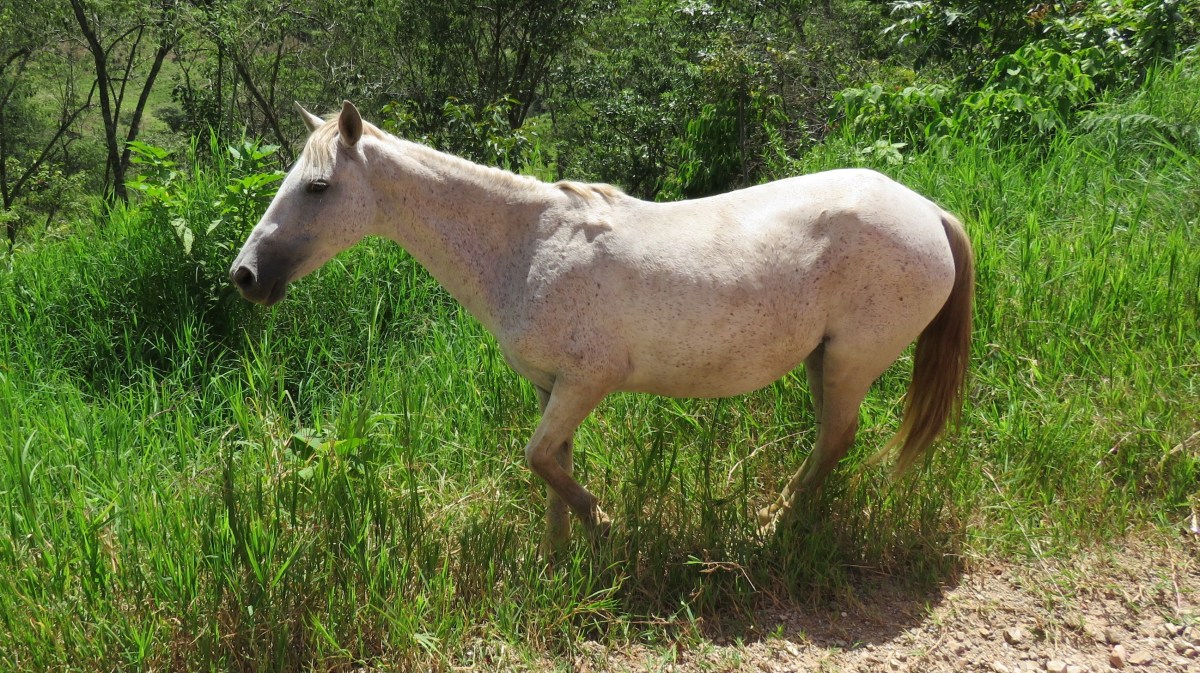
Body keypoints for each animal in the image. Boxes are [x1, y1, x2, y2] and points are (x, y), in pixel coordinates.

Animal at [230, 101, 974, 550]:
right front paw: (555, 558)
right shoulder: (550, 385)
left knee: (836, 437)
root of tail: (929, 211)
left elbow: (537, 459)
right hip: (824, 360)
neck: (527, 245)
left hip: (851, 360)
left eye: (318, 187)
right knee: (832, 439)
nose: (245, 275)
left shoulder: (586, 383)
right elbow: (551, 464)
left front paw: (603, 523)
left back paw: (774, 524)